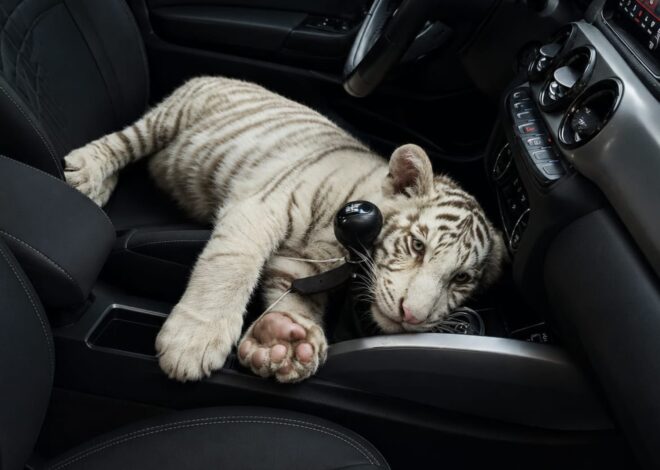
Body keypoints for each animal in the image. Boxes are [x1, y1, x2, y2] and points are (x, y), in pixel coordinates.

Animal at [63, 76, 506, 383]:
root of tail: (221, 75)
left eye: (461, 278)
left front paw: (285, 341)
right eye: (417, 245)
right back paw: (86, 173)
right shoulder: (260, 207)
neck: (342, 245)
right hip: (169, 118)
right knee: (124, 141)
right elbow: (230, 268)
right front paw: (192, 341)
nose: (412, 316)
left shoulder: (302, 263)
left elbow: (295, 298)